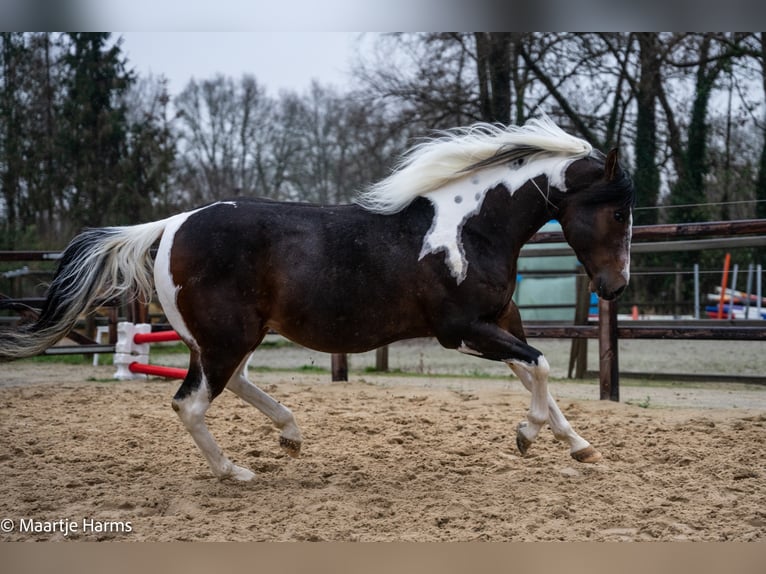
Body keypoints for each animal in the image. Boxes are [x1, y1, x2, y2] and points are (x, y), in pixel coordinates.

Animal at [0, 116, 636, 482]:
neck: (469, 229)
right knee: (191, 404)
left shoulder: (501, 319)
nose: (616, 288)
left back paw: (290, 435)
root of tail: (171, 224)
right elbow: (543, 367)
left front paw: (580, 448)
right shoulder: (462, 329)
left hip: (226, 338)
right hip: (226, 337)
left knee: (231, 384)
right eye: (615, 212)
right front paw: (527, 437)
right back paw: (238, 472)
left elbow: (534, 372)